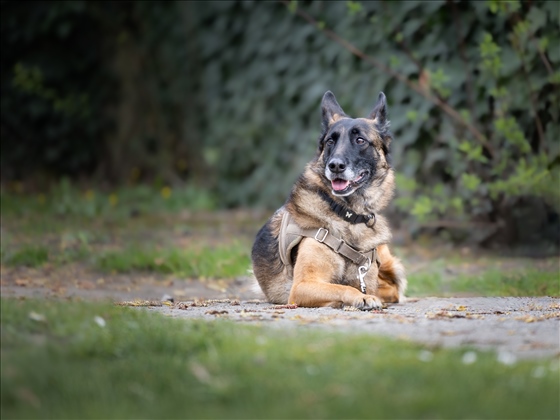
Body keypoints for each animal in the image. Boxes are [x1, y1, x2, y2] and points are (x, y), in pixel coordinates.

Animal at [252, 90, 404, 310]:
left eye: (360, 140)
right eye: (330, 141)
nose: (335, 166)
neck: (348, 216)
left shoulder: (367, 279)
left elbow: (369, 288)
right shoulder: (302, 286)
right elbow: (343, 287)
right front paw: (360, 298)